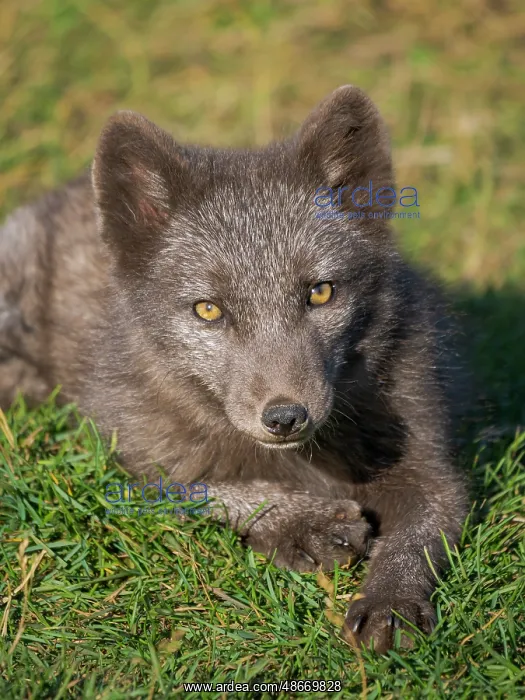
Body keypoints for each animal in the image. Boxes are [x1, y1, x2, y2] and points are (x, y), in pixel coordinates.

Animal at [0, 86, 467, 653]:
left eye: (321, 292)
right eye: (208, 309)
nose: (286, 417)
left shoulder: (432, 467)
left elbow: (420, 530)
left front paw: (391, 602)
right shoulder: (117, 453)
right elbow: (201, 485)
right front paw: (301, 522)